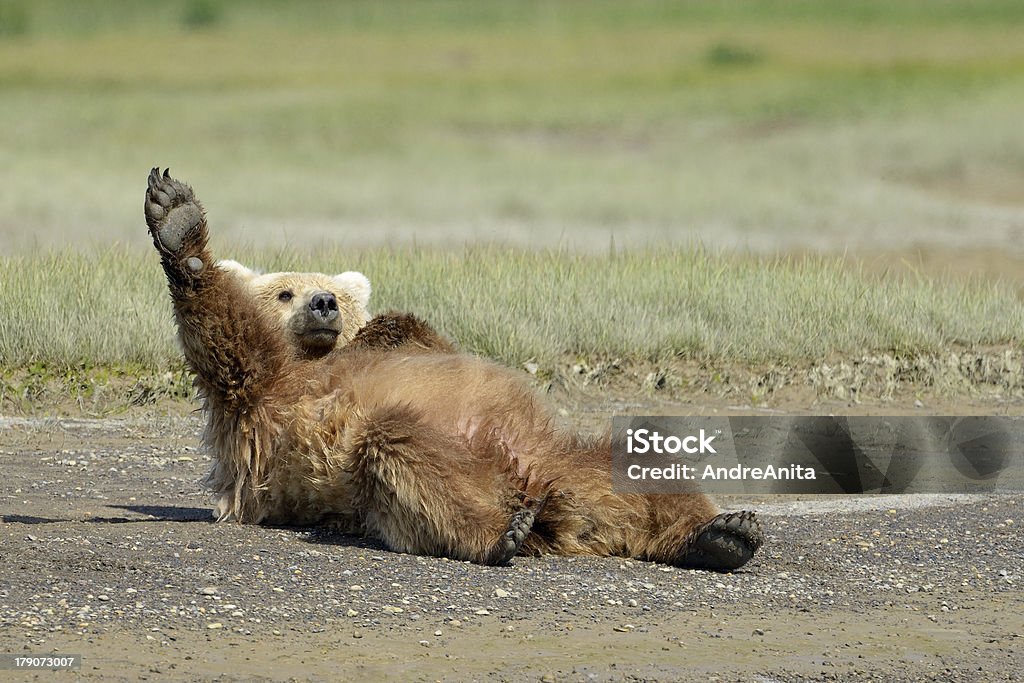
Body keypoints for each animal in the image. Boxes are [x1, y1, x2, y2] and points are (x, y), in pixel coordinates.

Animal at [148, 166, 765, 573]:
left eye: (335, 294)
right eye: (284, 291)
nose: (323, 304)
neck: (315, 357)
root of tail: (553, 501)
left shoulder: (398, 347)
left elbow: (412, 332)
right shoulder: (267, 408)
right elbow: (228, 344)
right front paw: (178, 222)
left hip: (568, 457)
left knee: (642, 456)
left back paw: (722, 533)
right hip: (409, 472)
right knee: (406, 454)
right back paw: (502, 535)